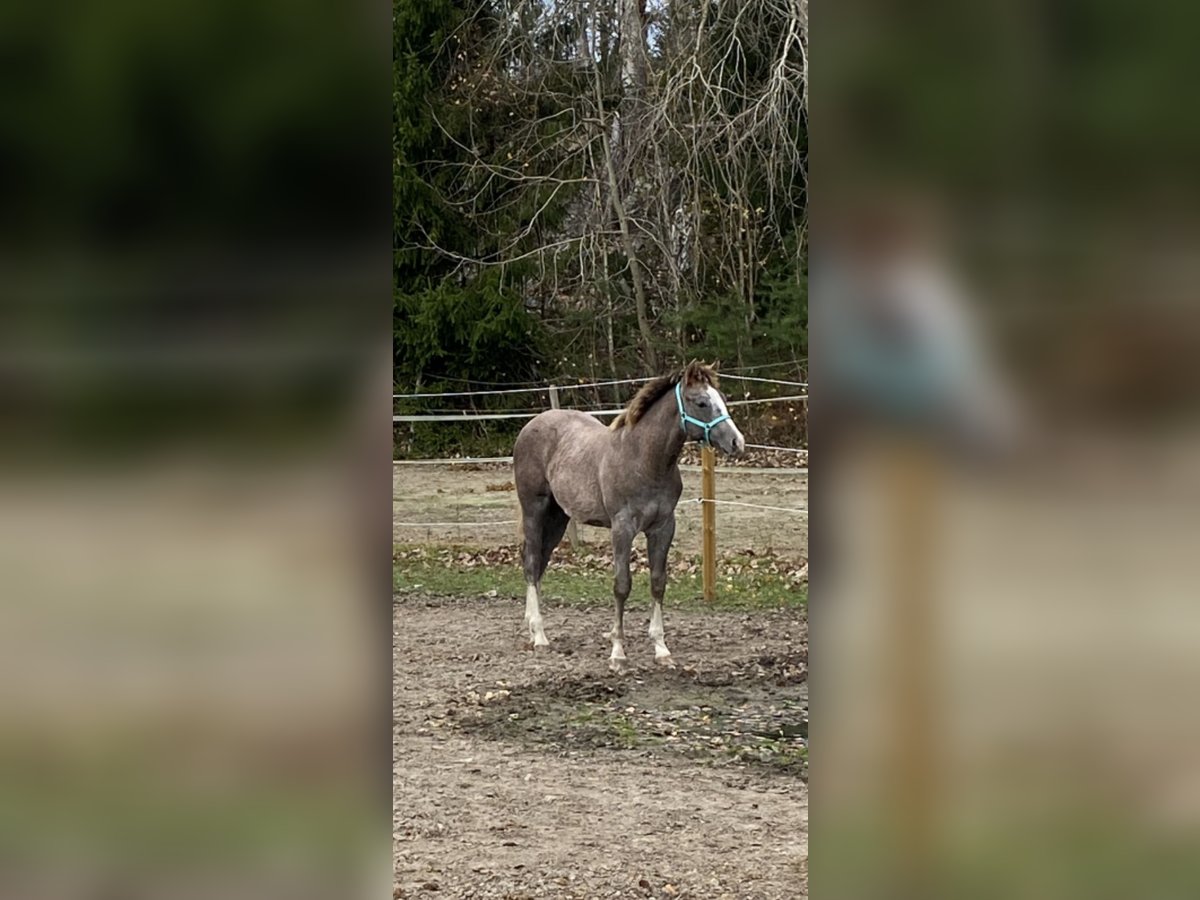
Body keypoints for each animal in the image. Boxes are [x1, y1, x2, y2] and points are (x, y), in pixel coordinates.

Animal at [511, 362, 744, 672]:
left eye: (722, 399)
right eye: (702, 402)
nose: (736, 442)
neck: (644, 460)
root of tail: (530, 425)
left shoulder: (663, 527)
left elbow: (658, 582)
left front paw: (661, 649)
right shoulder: (621, 528)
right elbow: (622, 585)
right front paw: (618, 653)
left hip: (558, 517)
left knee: (538, 564)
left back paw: (531, 629)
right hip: (534, 509)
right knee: (531, 562)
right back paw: (539, 636)